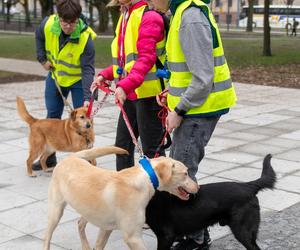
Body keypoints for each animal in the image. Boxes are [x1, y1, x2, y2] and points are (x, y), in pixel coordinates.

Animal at [44, 146, 199, 250]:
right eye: (185, 173)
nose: (198, 188)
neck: (146, 179)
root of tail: (71, 157)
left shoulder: (106, 228)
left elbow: (98, 246)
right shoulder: (133, 237)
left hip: (89, 210)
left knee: (80, 223)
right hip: (56, 211)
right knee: (47, 237)